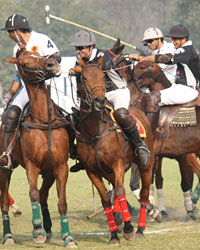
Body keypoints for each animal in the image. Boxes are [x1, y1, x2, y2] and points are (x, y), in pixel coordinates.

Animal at [0, 44, 77, 247]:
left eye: (40, 54)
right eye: (25, 63)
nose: (52, 64)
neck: (44, 121)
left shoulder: (60, 166)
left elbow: (62, 202)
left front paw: (68, 237)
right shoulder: (31, 166)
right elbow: (32, 194)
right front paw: (37, 230)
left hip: (48, 171)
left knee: (43, 195)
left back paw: (48, 227)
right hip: (4, 168)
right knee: (4, 201)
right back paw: (8, 236)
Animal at [75, 55, 155, 245]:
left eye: (103, 77)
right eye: (84, 78)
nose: (100, 100)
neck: (95, 132)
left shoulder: (117, 164)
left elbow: (120, 191)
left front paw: (128, 229)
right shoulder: (92, 170)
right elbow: (105, 199)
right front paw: (113, 235)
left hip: (145, 165)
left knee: (144, 193)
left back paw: (140, 229)